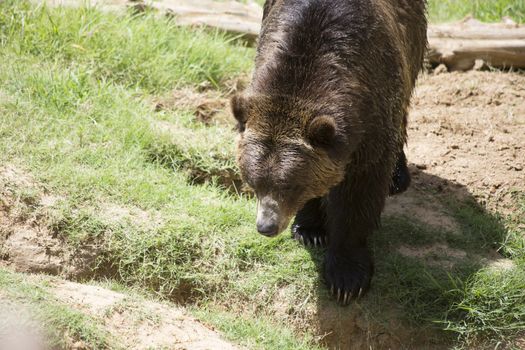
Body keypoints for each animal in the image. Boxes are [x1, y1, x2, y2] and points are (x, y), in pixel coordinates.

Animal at [232, 0, 426, 304]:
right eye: (254, 182)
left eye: (290, 185)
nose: (266, 226)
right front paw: (310, 230)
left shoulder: (373, 113)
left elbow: (358, 192)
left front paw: (347, 277)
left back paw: (398, 177)